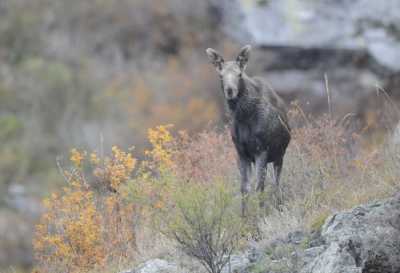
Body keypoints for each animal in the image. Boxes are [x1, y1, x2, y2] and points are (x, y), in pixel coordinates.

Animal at [206, 44, 290, 215]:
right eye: (220, 75)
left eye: (239, 74)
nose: (230, 90)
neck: (244, 117)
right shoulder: (242, 153)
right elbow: (244, 189)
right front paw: (244, 217)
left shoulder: (262, 150)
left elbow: (259, 187)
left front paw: (261, 215)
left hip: (279, 155)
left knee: (276, 184)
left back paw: (279, 206)